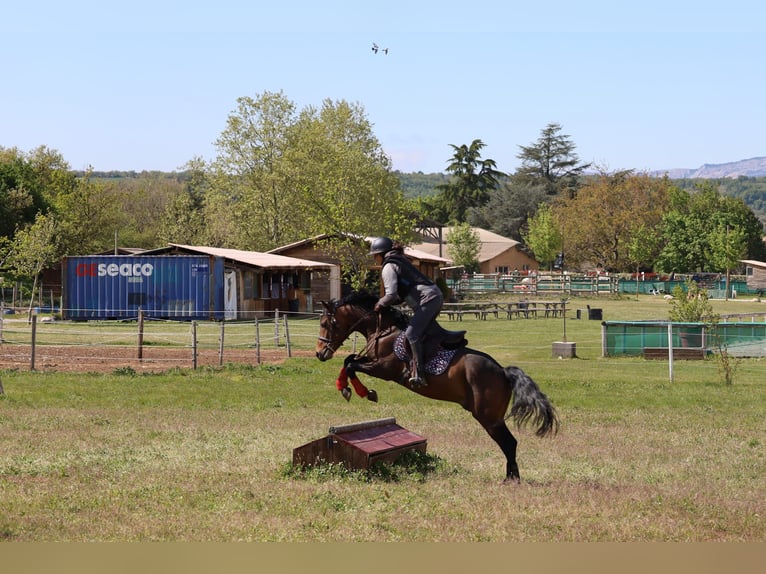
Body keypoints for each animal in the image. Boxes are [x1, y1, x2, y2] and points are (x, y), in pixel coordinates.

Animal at [316, 292, 560, 486]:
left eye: (326, 324)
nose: (320, 353)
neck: (385, 331)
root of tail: (503, 372)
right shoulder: (373, 362)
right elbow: (349, 360)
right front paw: (351, 389)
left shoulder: (384, 369)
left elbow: (350, 364)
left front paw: (360, 392)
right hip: (492, 417)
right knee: (509, 443)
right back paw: (511, 477)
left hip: (488, 417)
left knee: (509, 443)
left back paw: (511, 479)